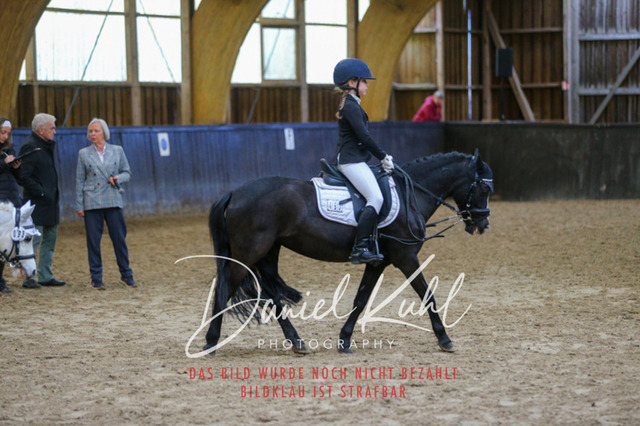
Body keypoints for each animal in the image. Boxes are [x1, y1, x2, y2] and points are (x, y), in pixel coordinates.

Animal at [204, 151, 493, 354]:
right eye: (484, 188)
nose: (483, 225)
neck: (408, 195)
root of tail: (235, 192)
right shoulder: (406, 258)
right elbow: (427, 295)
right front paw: (444, 338)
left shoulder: (378, 262)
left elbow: (361, 299)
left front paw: (344, 340)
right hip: (247, 253)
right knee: (225, 288)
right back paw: (210, 342)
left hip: (267, 252)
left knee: (272, 294)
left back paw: (297, 342)